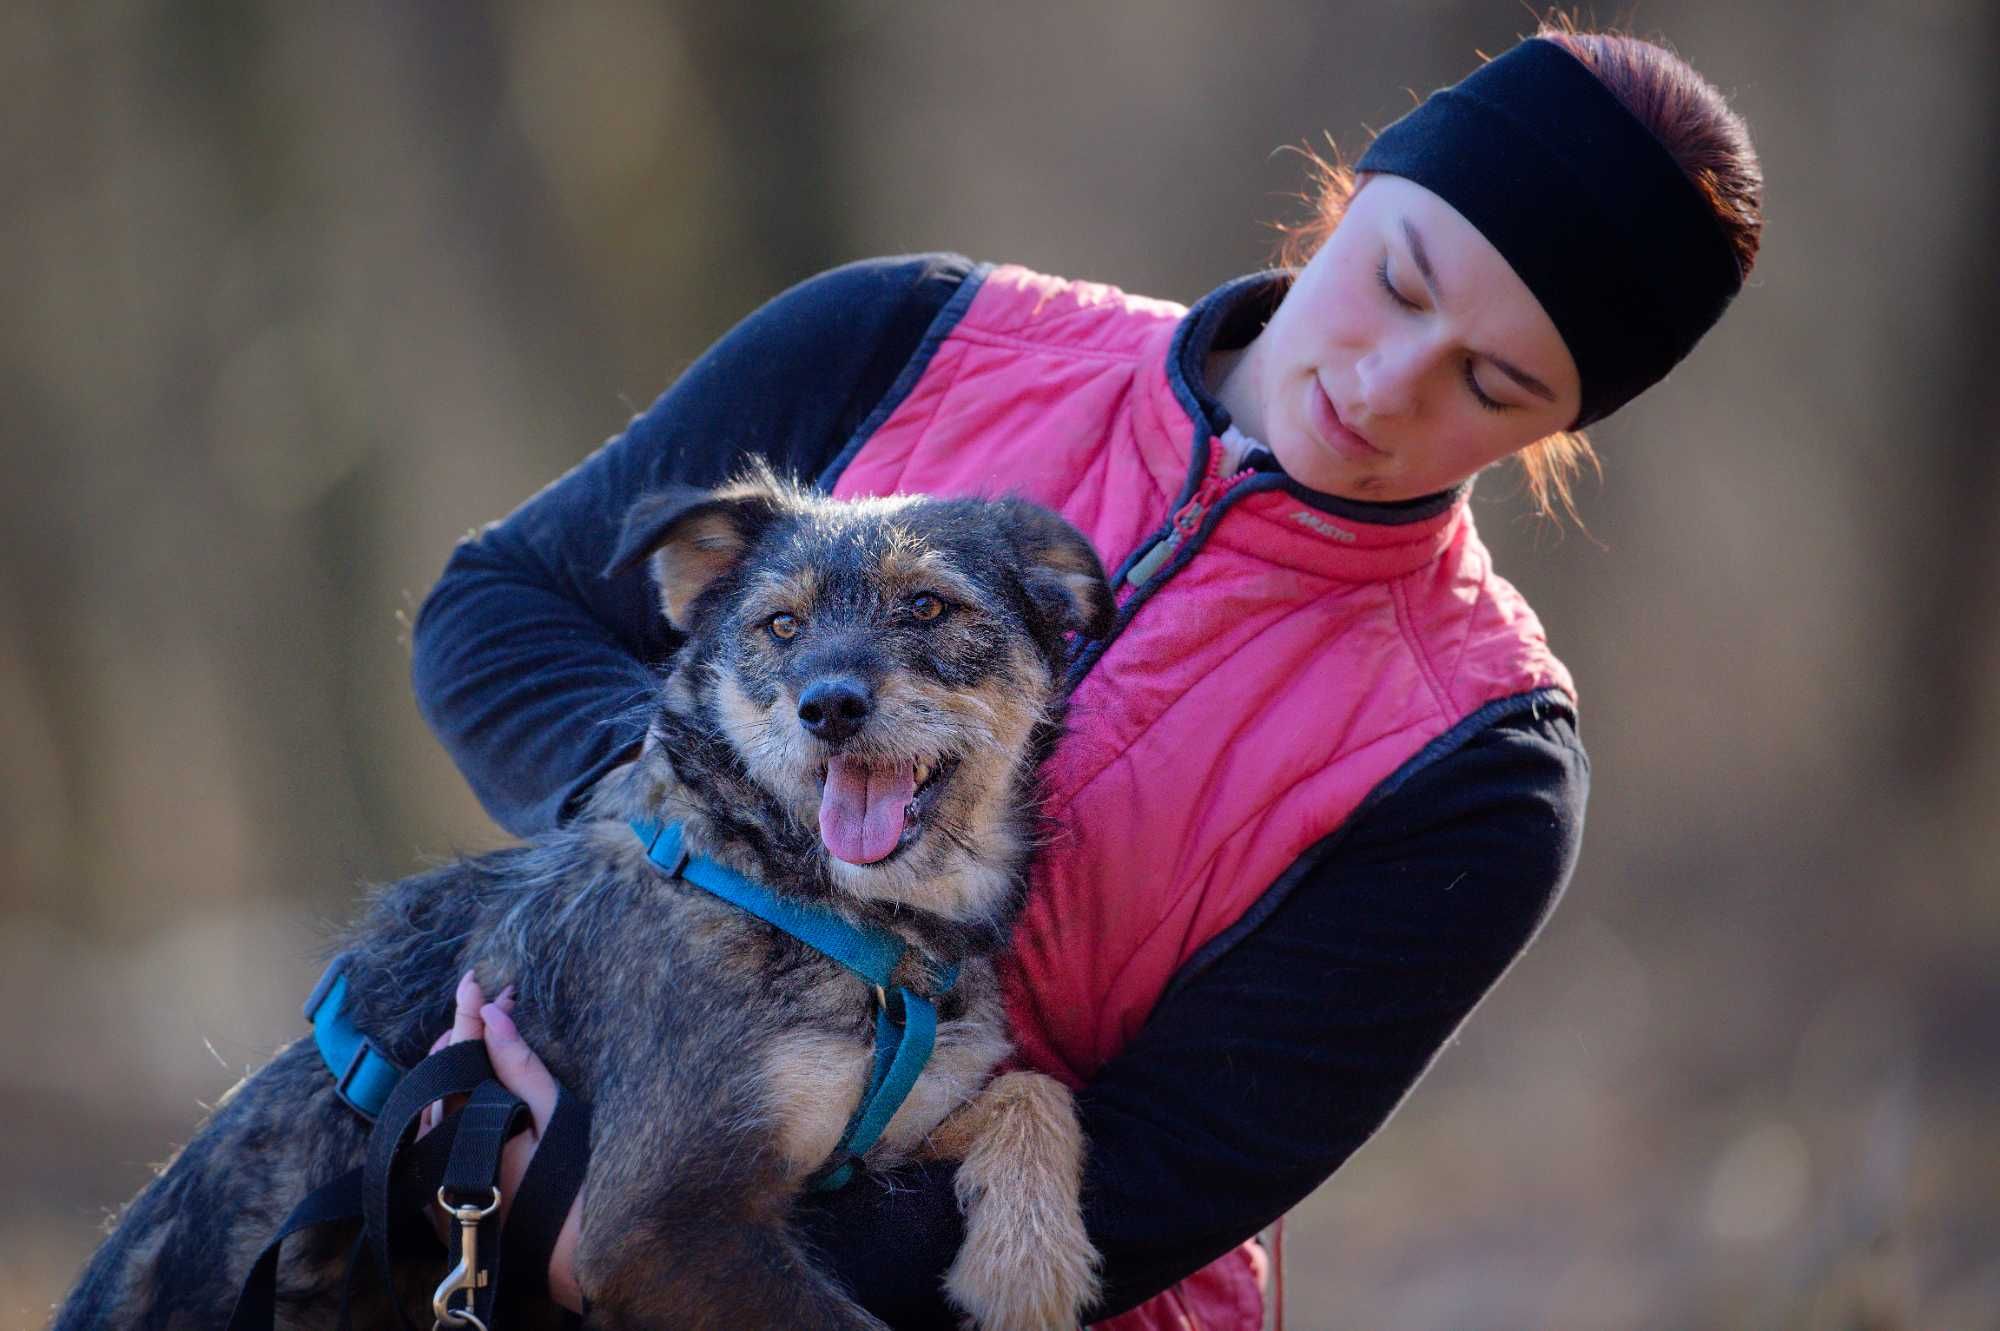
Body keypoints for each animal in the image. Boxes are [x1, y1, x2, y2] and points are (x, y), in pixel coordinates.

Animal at [50, 469, 1112, 1327]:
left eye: (928, 606)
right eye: (782, 625)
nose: (830, 706)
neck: (826, 906)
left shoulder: (876, 1137)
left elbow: (1036, 1087)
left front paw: (1026, 1264)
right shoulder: (659, 1220)